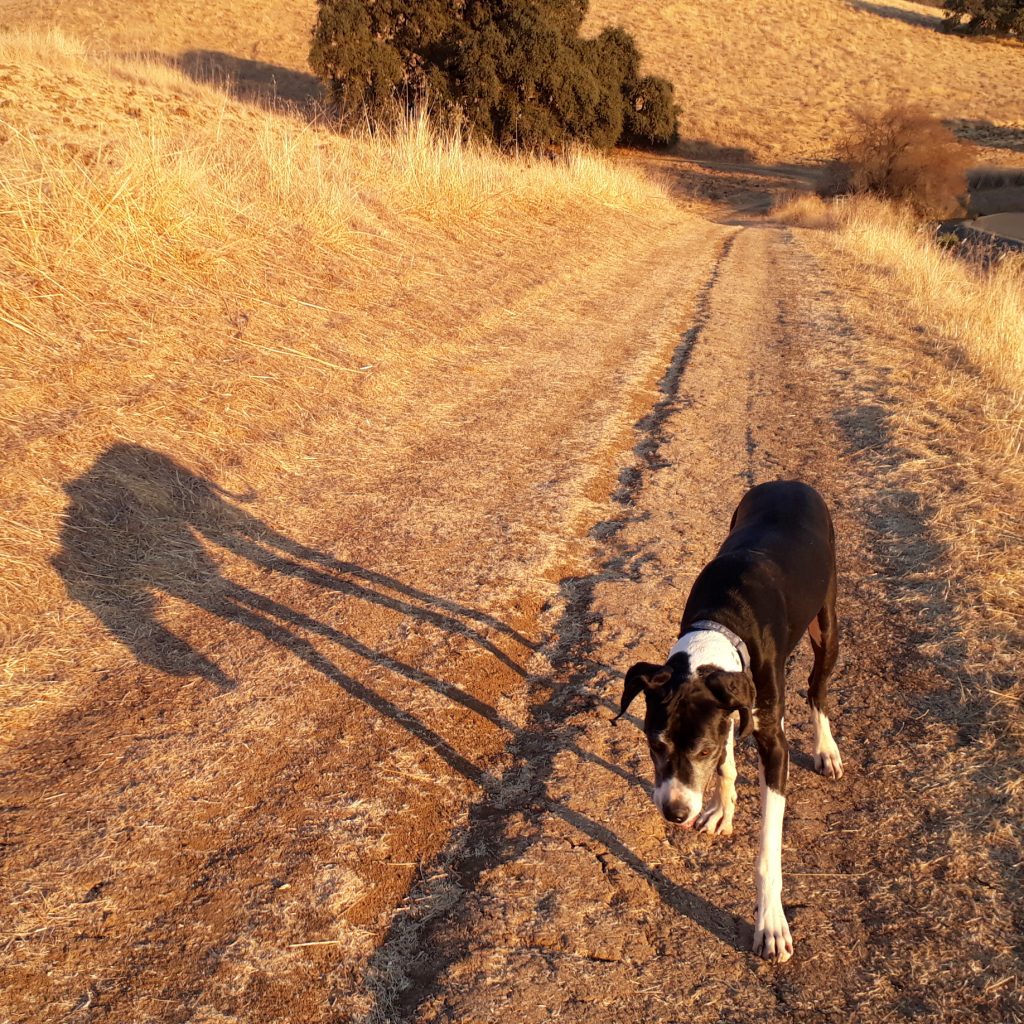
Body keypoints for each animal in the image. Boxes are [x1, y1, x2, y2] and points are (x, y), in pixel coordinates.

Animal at [614, 479, 839, 958]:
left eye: (701, 750)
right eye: (655, 745)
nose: (675, 812)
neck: (721, 624)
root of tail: (790, 481)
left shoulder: (772, 743)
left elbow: (767, 851)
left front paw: (771, 923)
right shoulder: (729, 704)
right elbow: (728, 759)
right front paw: (721, 808)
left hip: (826, 622)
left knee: (817, 686)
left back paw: (826, 748)